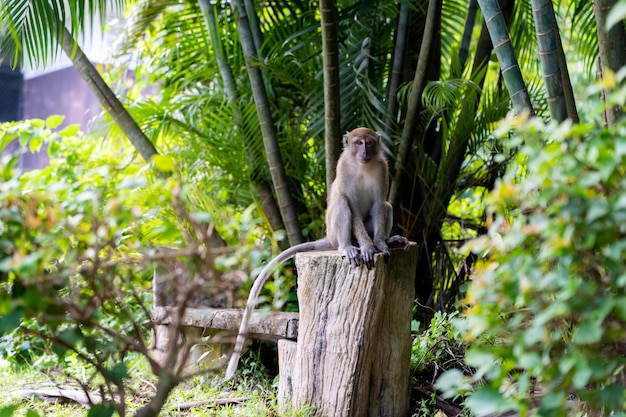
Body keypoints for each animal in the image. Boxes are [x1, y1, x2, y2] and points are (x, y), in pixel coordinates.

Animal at [224, 127, 410, 380]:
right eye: (358, 142)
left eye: (370, 143)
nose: (365, 151)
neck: (362, 166)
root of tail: (329, 238)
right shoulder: (343, 168)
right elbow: (350, 205)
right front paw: (367, 247)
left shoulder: (382, 168)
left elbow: (380, 204)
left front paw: (380, 244)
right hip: (333, 230)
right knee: (341, 202)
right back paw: (348, 247)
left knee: (387, 206)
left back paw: (387, 240)